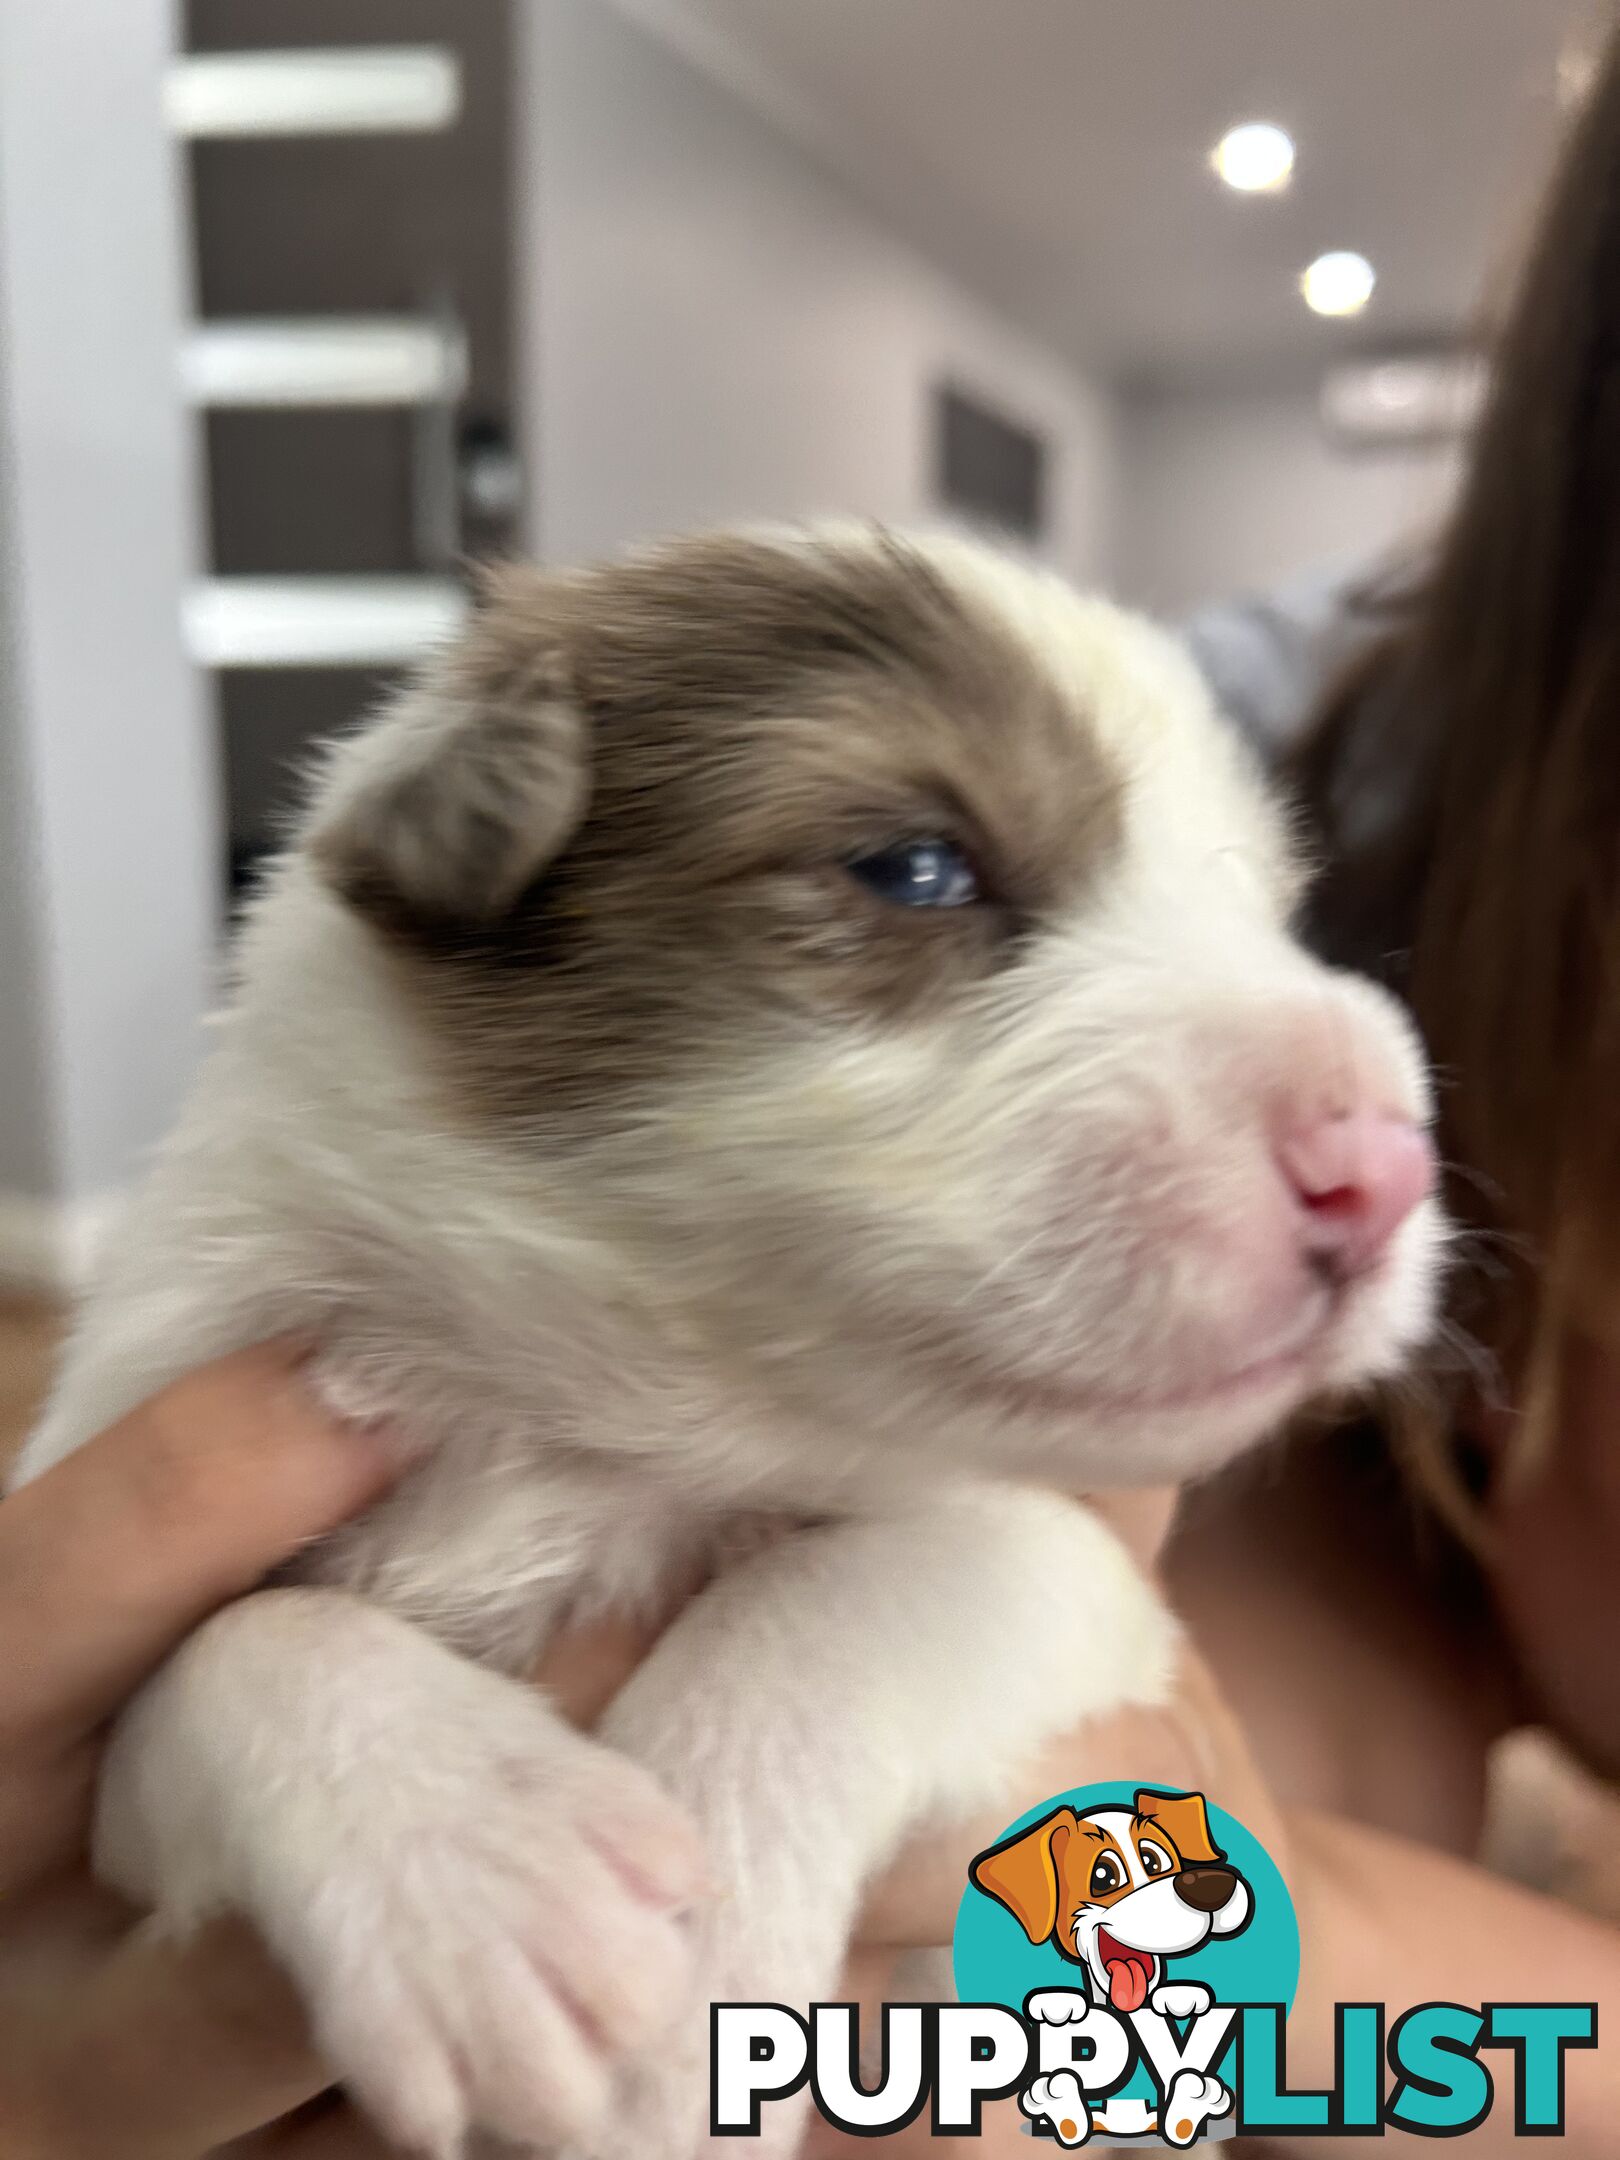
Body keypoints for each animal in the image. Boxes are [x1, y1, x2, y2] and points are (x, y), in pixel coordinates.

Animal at [9, 527, 1434, 2160]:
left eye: (1267, 905)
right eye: (916, 867)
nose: (1385, 1163)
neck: (592, 1424)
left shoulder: (1086, 1580)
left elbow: (861, 1578)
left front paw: (694, 1982)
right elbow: (225, 1647)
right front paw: (476, 1881)